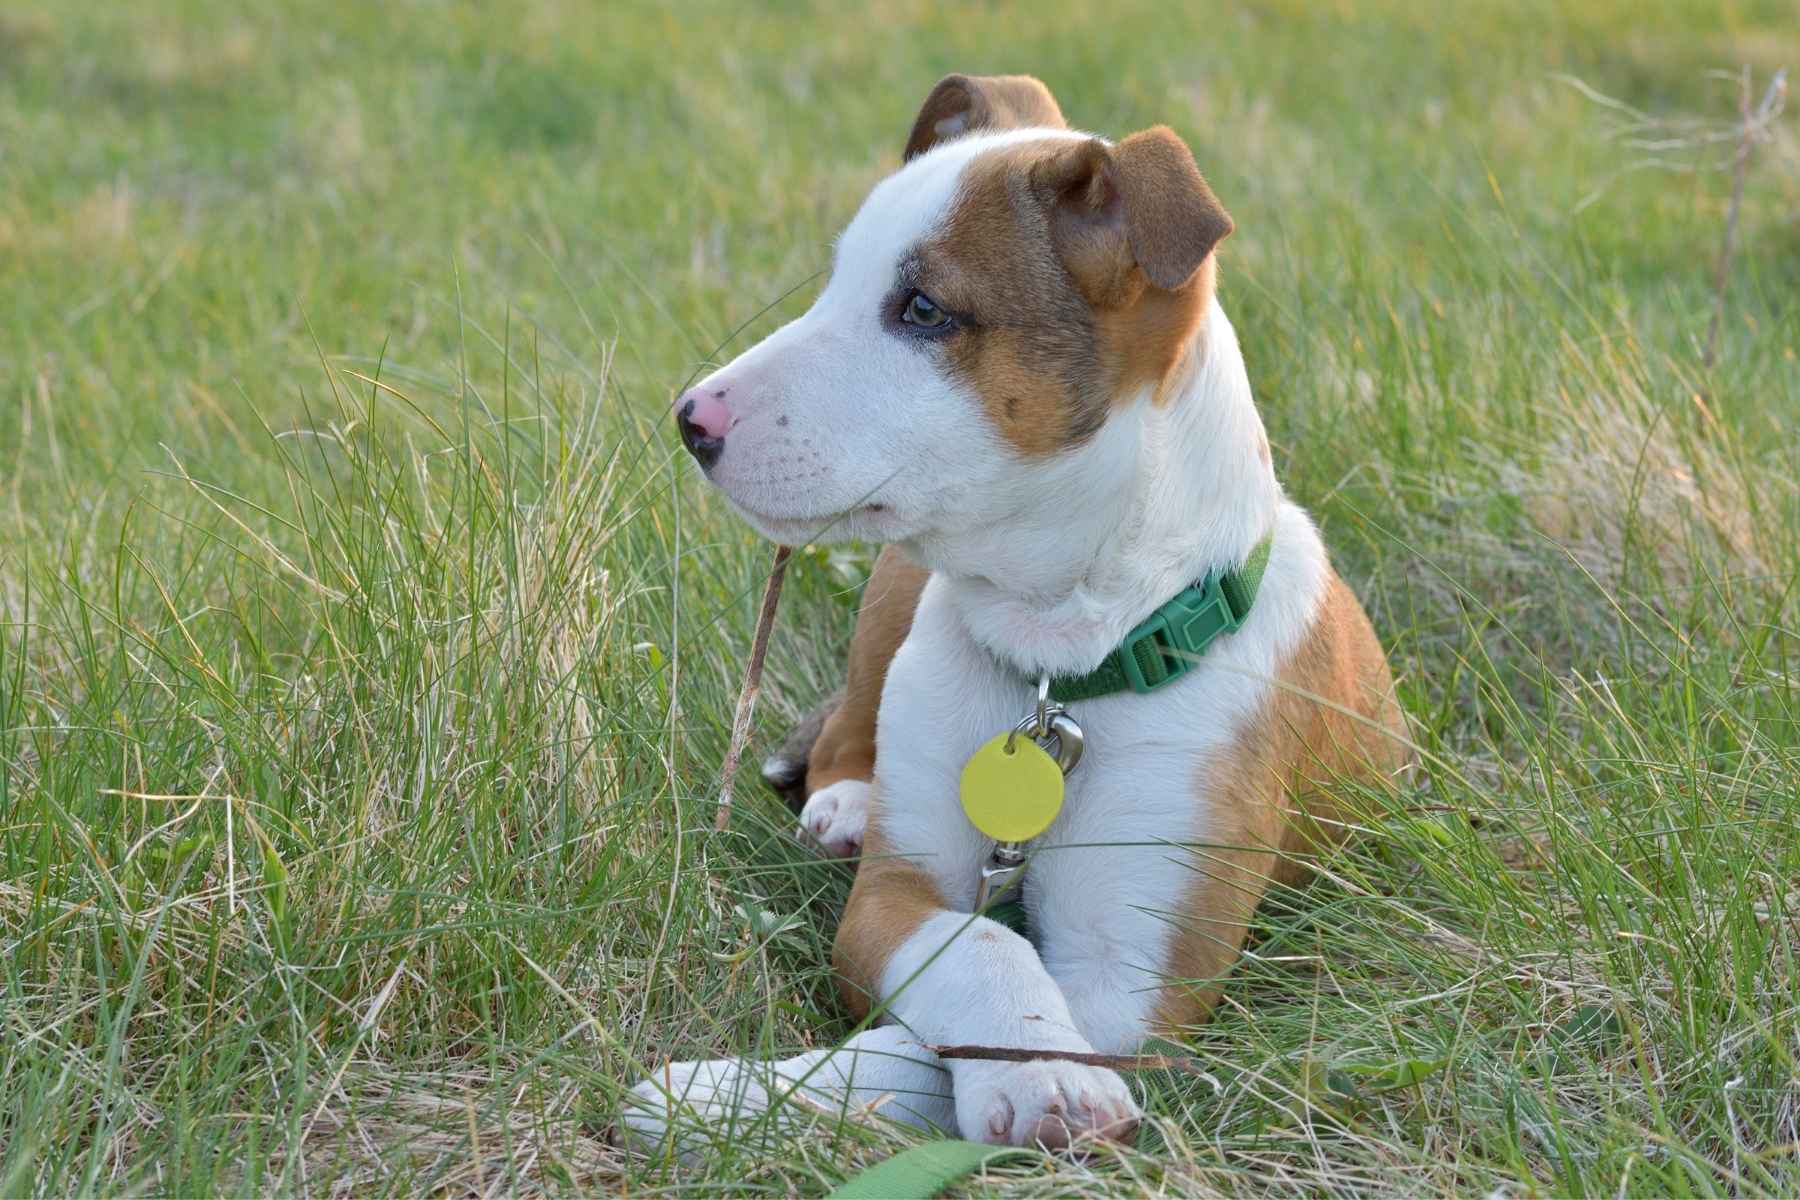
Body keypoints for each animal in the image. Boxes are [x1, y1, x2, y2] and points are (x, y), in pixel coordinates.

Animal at [626, 75, 1411, 1151]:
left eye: (923, 309)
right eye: (836, 283)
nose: (690, 419)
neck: (1061, 663)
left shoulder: (1133, 986)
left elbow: (942, 1037)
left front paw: (1037, 1076)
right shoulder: (895, 896)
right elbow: (979, 952)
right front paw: (722, 1097)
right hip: (892, 593)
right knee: (850, 725)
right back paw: (848, 801)